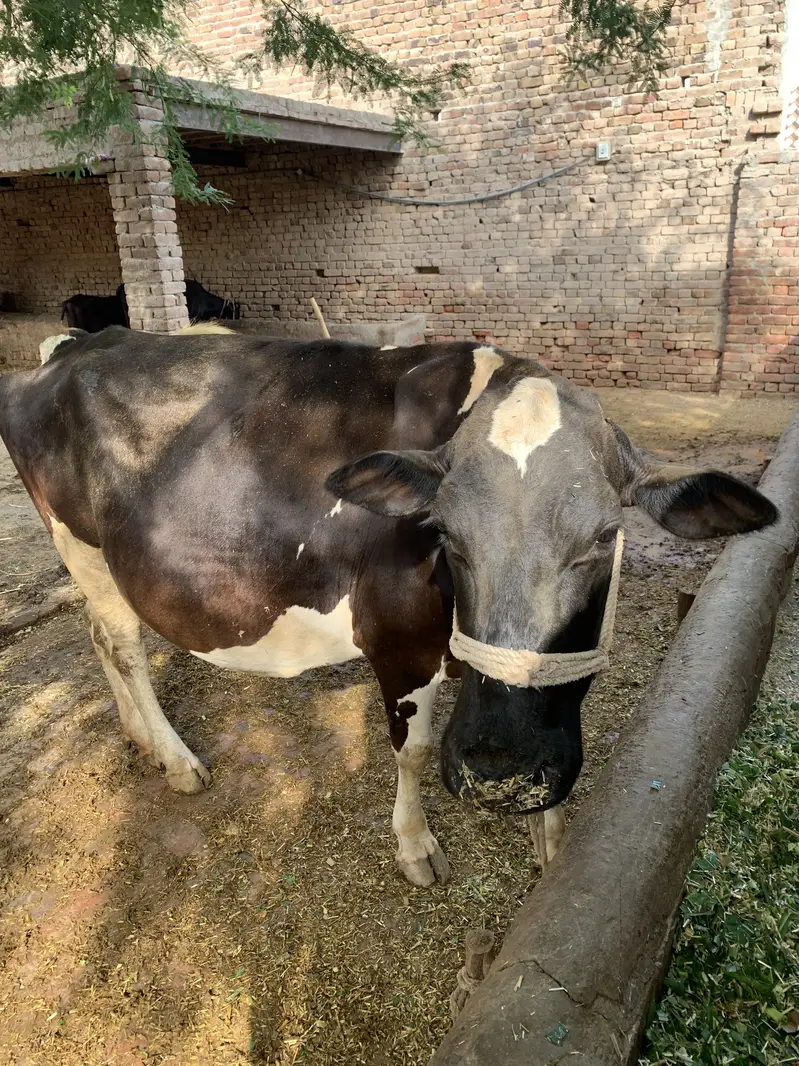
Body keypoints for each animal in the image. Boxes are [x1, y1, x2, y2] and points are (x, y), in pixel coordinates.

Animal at [0, 328, 777, 886]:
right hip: (84, 548)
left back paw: (138, 737)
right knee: (124, 645)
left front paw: (550, 841)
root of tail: (74, 345)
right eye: (444, 533)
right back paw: (176, 758)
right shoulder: (398, 643)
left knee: (98, 638)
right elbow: (414, 750)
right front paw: (416, 847)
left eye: (606, 536)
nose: (501, 772)